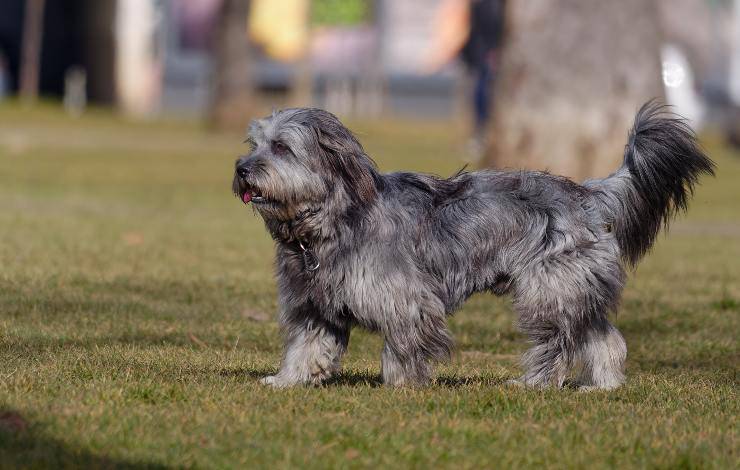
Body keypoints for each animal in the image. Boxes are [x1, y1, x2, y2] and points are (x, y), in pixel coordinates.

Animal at [233, 103, 716, 390]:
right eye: (254, 144)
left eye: (281, 147)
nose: (241, 169)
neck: (329, 225)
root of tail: (587, 194)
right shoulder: (314, 307)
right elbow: (306, 348)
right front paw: (286, 381)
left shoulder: (407, 301)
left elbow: (403, 348)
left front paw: (400, 388)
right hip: (571, 290)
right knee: (602, 337)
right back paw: (603, 386)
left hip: (547, 292)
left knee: (559, 344)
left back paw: (534, 384)